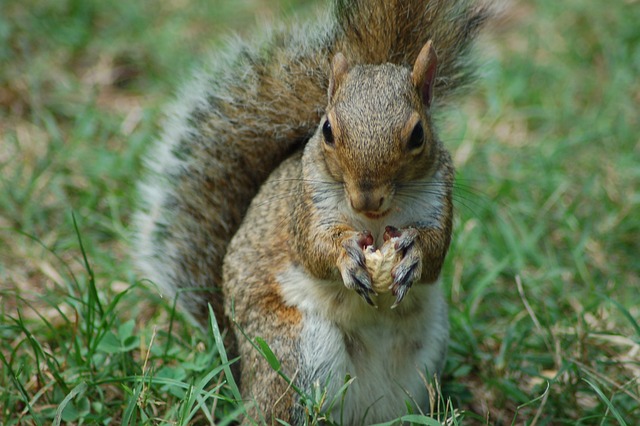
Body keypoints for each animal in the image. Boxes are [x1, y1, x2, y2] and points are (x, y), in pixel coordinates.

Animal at [134, 0, 496, 422]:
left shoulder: (440, 196)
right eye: (327, 130)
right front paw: (346, 257)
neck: (376, 223)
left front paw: (413, 253)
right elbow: (313, 248)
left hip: (424, 360)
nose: (366, 199)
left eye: (418, 134)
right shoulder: (306, 204)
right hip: (296, 351)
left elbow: (436, 252)